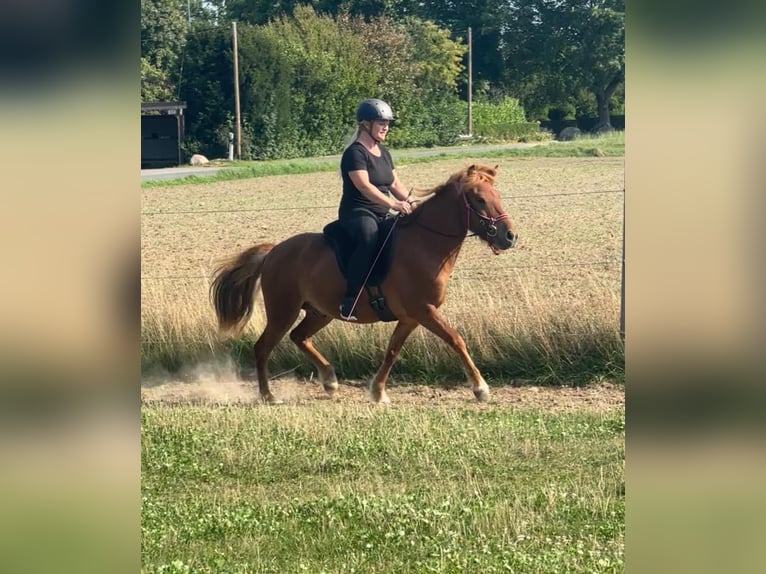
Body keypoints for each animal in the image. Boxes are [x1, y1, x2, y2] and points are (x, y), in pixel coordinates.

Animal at [210, 164, 518, 404]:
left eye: (497, 195)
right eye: (479, 199)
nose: (510, 236)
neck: (424, 244)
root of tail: (274, 251)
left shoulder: (410, 317)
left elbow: (392, 351)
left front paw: (378, 392)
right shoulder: (424, 311)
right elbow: (456, 340)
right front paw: (480, 388)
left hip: (319, 312)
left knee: (299, 337)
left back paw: (329, 381)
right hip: (282, 311)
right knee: (262, 348)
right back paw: (268, 395)